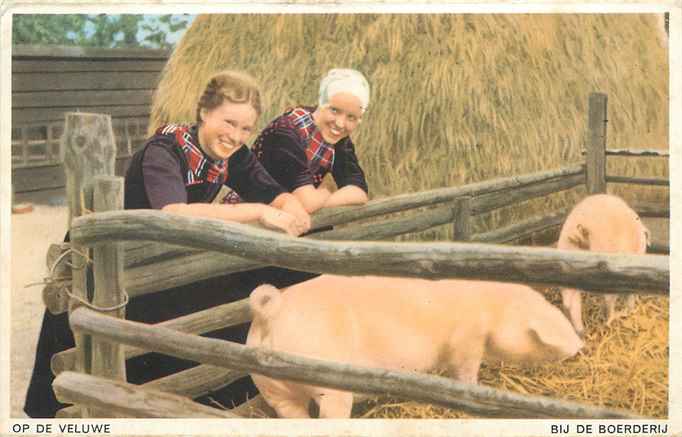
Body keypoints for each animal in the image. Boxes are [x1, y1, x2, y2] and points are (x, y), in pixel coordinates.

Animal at [244, 274, 580, 418]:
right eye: (539, 324)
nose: (580, 344)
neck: (492, 309)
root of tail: (272, 312)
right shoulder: (466, 341)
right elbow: (465, 372)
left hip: (273, 390)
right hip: (327, 382)